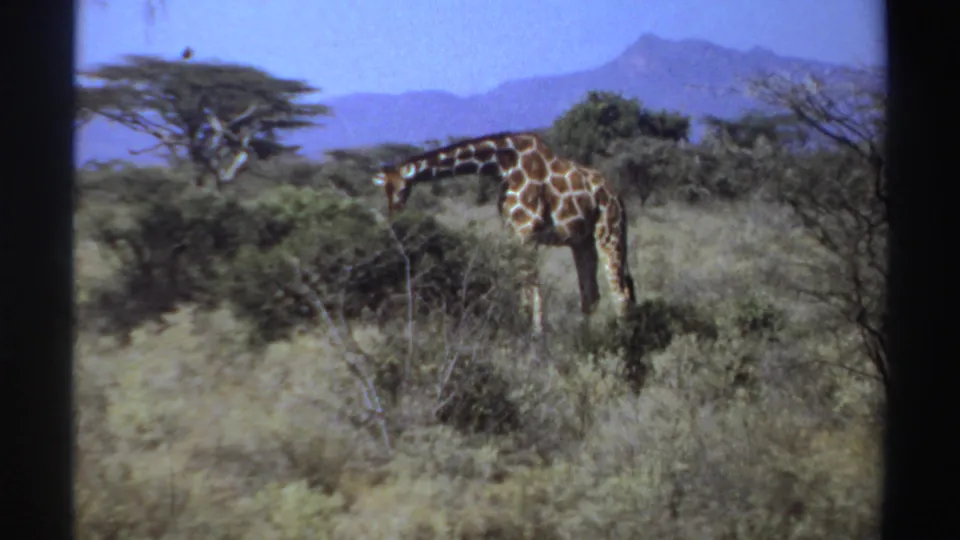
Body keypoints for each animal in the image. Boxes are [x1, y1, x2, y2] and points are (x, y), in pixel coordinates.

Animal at [371, 131, 636, 335]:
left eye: (402, 188)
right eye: (385, 190)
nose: (395, 215)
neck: (502, 165)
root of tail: (618, 196)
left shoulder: (527, 232)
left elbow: (534, 289)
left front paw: (537, 337)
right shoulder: (512, 232)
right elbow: (523, 288)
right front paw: (525, 330)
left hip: (609, 232)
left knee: (621, 292)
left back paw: (623, 342)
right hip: (582, 241)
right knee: (592, 295)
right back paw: (587, 337)